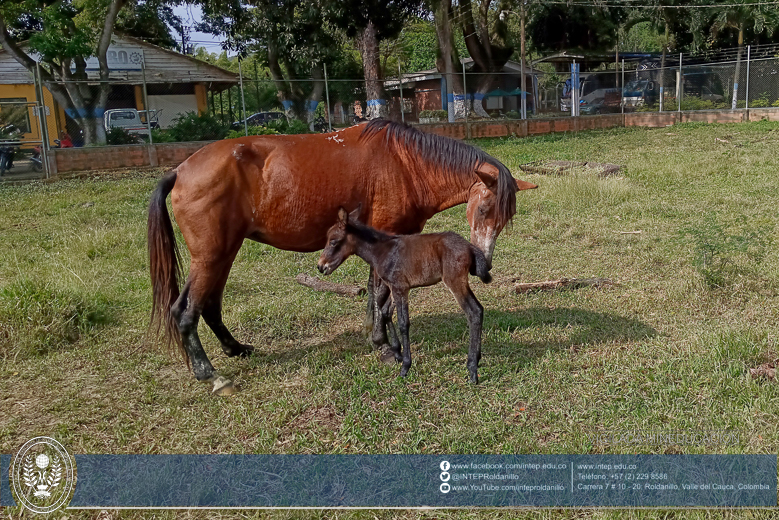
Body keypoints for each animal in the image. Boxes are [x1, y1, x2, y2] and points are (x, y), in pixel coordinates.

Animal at [318, 207, 494, 382]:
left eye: (333, 241)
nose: (321, 266)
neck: (382, 251)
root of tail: (470, 247)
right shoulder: (394, 287)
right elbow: (385, 312)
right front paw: (397, 353)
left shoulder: (400, 288)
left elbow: (403, 323)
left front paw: (405, 367)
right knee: (479, 309)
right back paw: (476, 360)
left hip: (455, 281)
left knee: (473, 311)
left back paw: (472, 369)